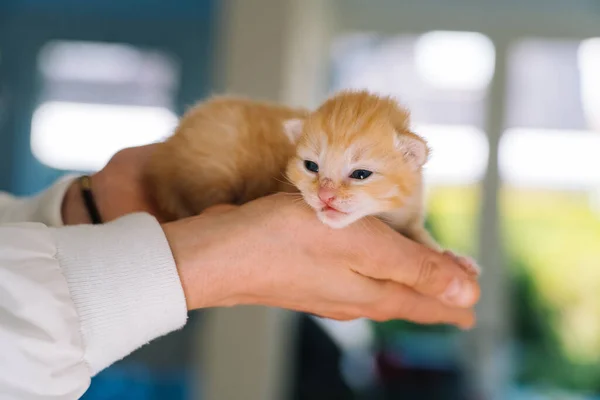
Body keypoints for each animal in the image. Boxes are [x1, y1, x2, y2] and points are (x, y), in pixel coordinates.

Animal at [145, 89, 482, 274]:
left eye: (361, 174)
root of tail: (167, 152)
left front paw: (452, 256)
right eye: (311, 167)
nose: (325, 196)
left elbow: (420, 236)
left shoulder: (408, 215)